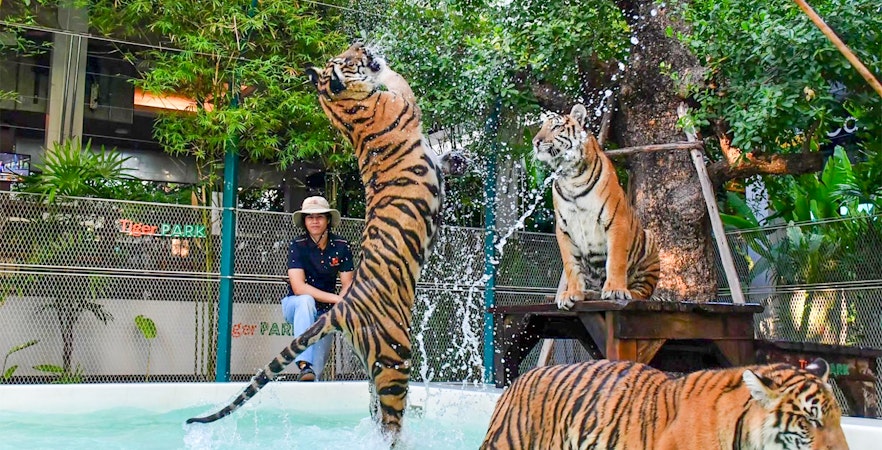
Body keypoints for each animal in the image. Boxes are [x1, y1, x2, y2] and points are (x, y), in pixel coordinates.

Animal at [186, 42, 448, 444]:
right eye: (350, 58)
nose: (361, 43)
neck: (344, 108)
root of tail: (345, 306)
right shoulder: (402, 102)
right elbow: (396, 80)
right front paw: (384, 66)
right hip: (394, 357)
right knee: (390, 421)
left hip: (373, 362)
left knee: (375, 410)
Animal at [533, 103, 659, 309]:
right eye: (541, 127)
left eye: (556, 127)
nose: (536, 141)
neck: (571, 177)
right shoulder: (564, 228)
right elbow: (571, 265)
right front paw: (572, 293)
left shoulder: (616, 221)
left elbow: (616, 260)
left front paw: (615, 289)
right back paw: (590, 293)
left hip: (650, 240)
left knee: (643, 293)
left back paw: (626, 293)